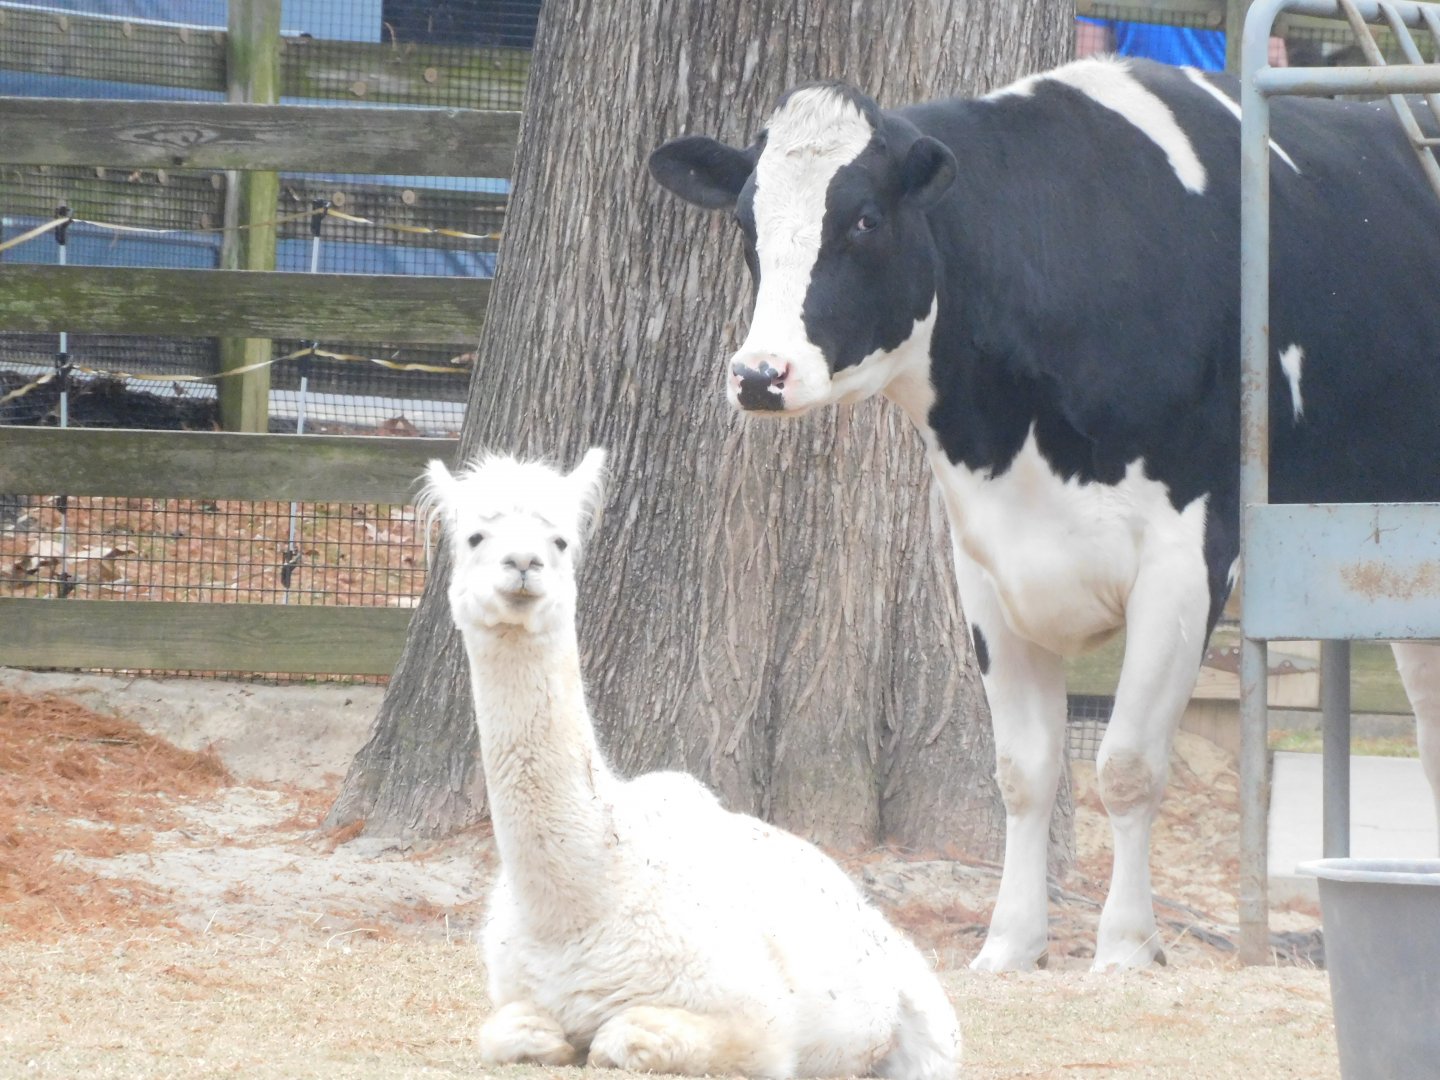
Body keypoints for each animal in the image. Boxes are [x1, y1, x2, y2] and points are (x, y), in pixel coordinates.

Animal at [649, 55, 1440, 971]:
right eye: (746, 222)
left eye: (865, 219)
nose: (758, 374)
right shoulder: (986, 569)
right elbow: (1023, 771)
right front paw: (1010, 945)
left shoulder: (1186, 555)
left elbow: (1127, 766)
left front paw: (1125, 950)